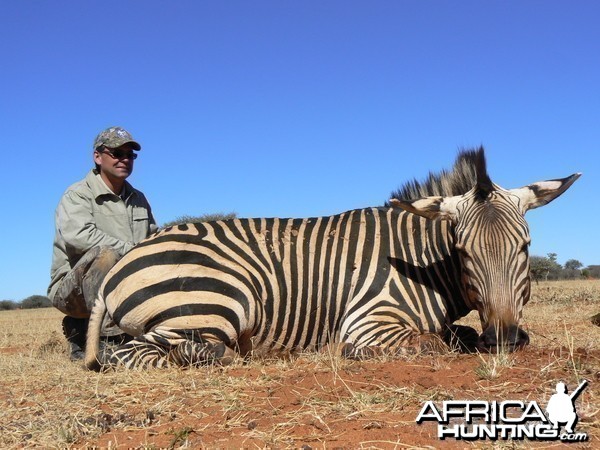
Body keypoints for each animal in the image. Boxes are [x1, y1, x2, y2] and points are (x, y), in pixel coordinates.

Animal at [83, 148, 576, 370]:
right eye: (463, 252)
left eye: (524, 247)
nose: (503, 339)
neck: (424, 263)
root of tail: (119, 267)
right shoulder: (369, 320)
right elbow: (435, 342)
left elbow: (460, 333)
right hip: (221, 302)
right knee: (133, 355)